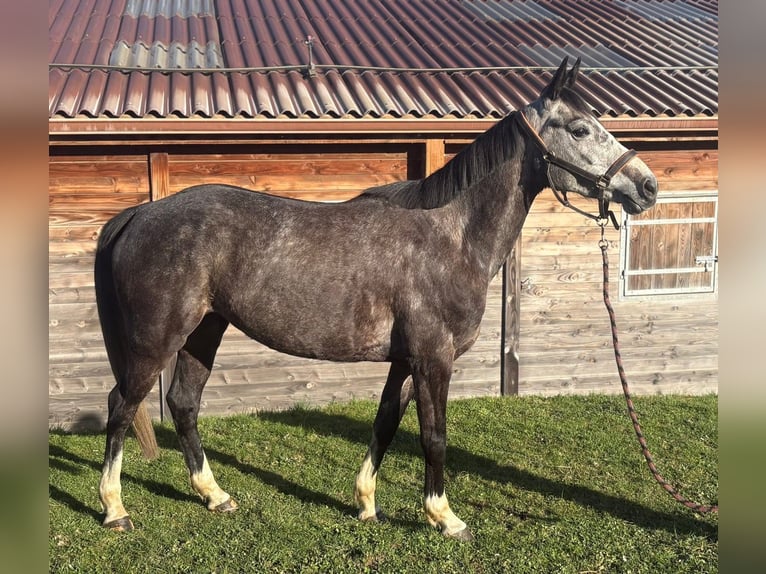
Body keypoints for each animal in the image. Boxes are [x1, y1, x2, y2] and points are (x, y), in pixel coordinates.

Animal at [94, 58, 658, 540]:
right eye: (580, 129)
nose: (647, 186)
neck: (451, 236)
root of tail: (139, 214)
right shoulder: (434, 359)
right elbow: (434, 436)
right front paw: (444, 517)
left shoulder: (406, 360)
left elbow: (386, 423)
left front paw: (366, 503)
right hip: (156, 340)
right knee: (122, 405)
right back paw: (115, 509)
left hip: (204, 331)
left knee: (183, 403)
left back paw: (215, 495)